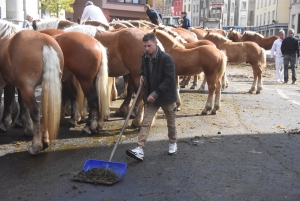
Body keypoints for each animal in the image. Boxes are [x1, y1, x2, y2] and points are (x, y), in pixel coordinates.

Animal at [0, 20, 62, 154]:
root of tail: (44, 42)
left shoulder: (9, 83)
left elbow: (8, 98)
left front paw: (5, 123)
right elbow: (20, 102)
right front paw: (27, 127)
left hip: (27, 88)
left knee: (35, 110)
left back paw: (36, 146)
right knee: (45, 109)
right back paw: (45, 140)